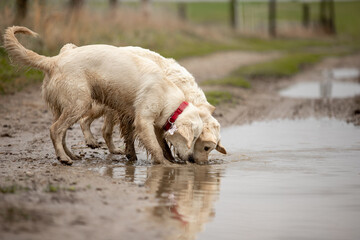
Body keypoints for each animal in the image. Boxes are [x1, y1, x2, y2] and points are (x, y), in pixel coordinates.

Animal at [4, 26, 204, 165]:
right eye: (193, 138)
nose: (192, 159)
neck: (167, 94)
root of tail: (53, 60)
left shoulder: (154, 124)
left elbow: (162, 145)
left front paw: (168, 159)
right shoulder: (143, 121)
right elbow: (155, 147)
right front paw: (166, 165)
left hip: (64, 106)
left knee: (62, 133)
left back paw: (70, 154)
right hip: (80, 103)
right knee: (55, 130)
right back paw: (63, 158)